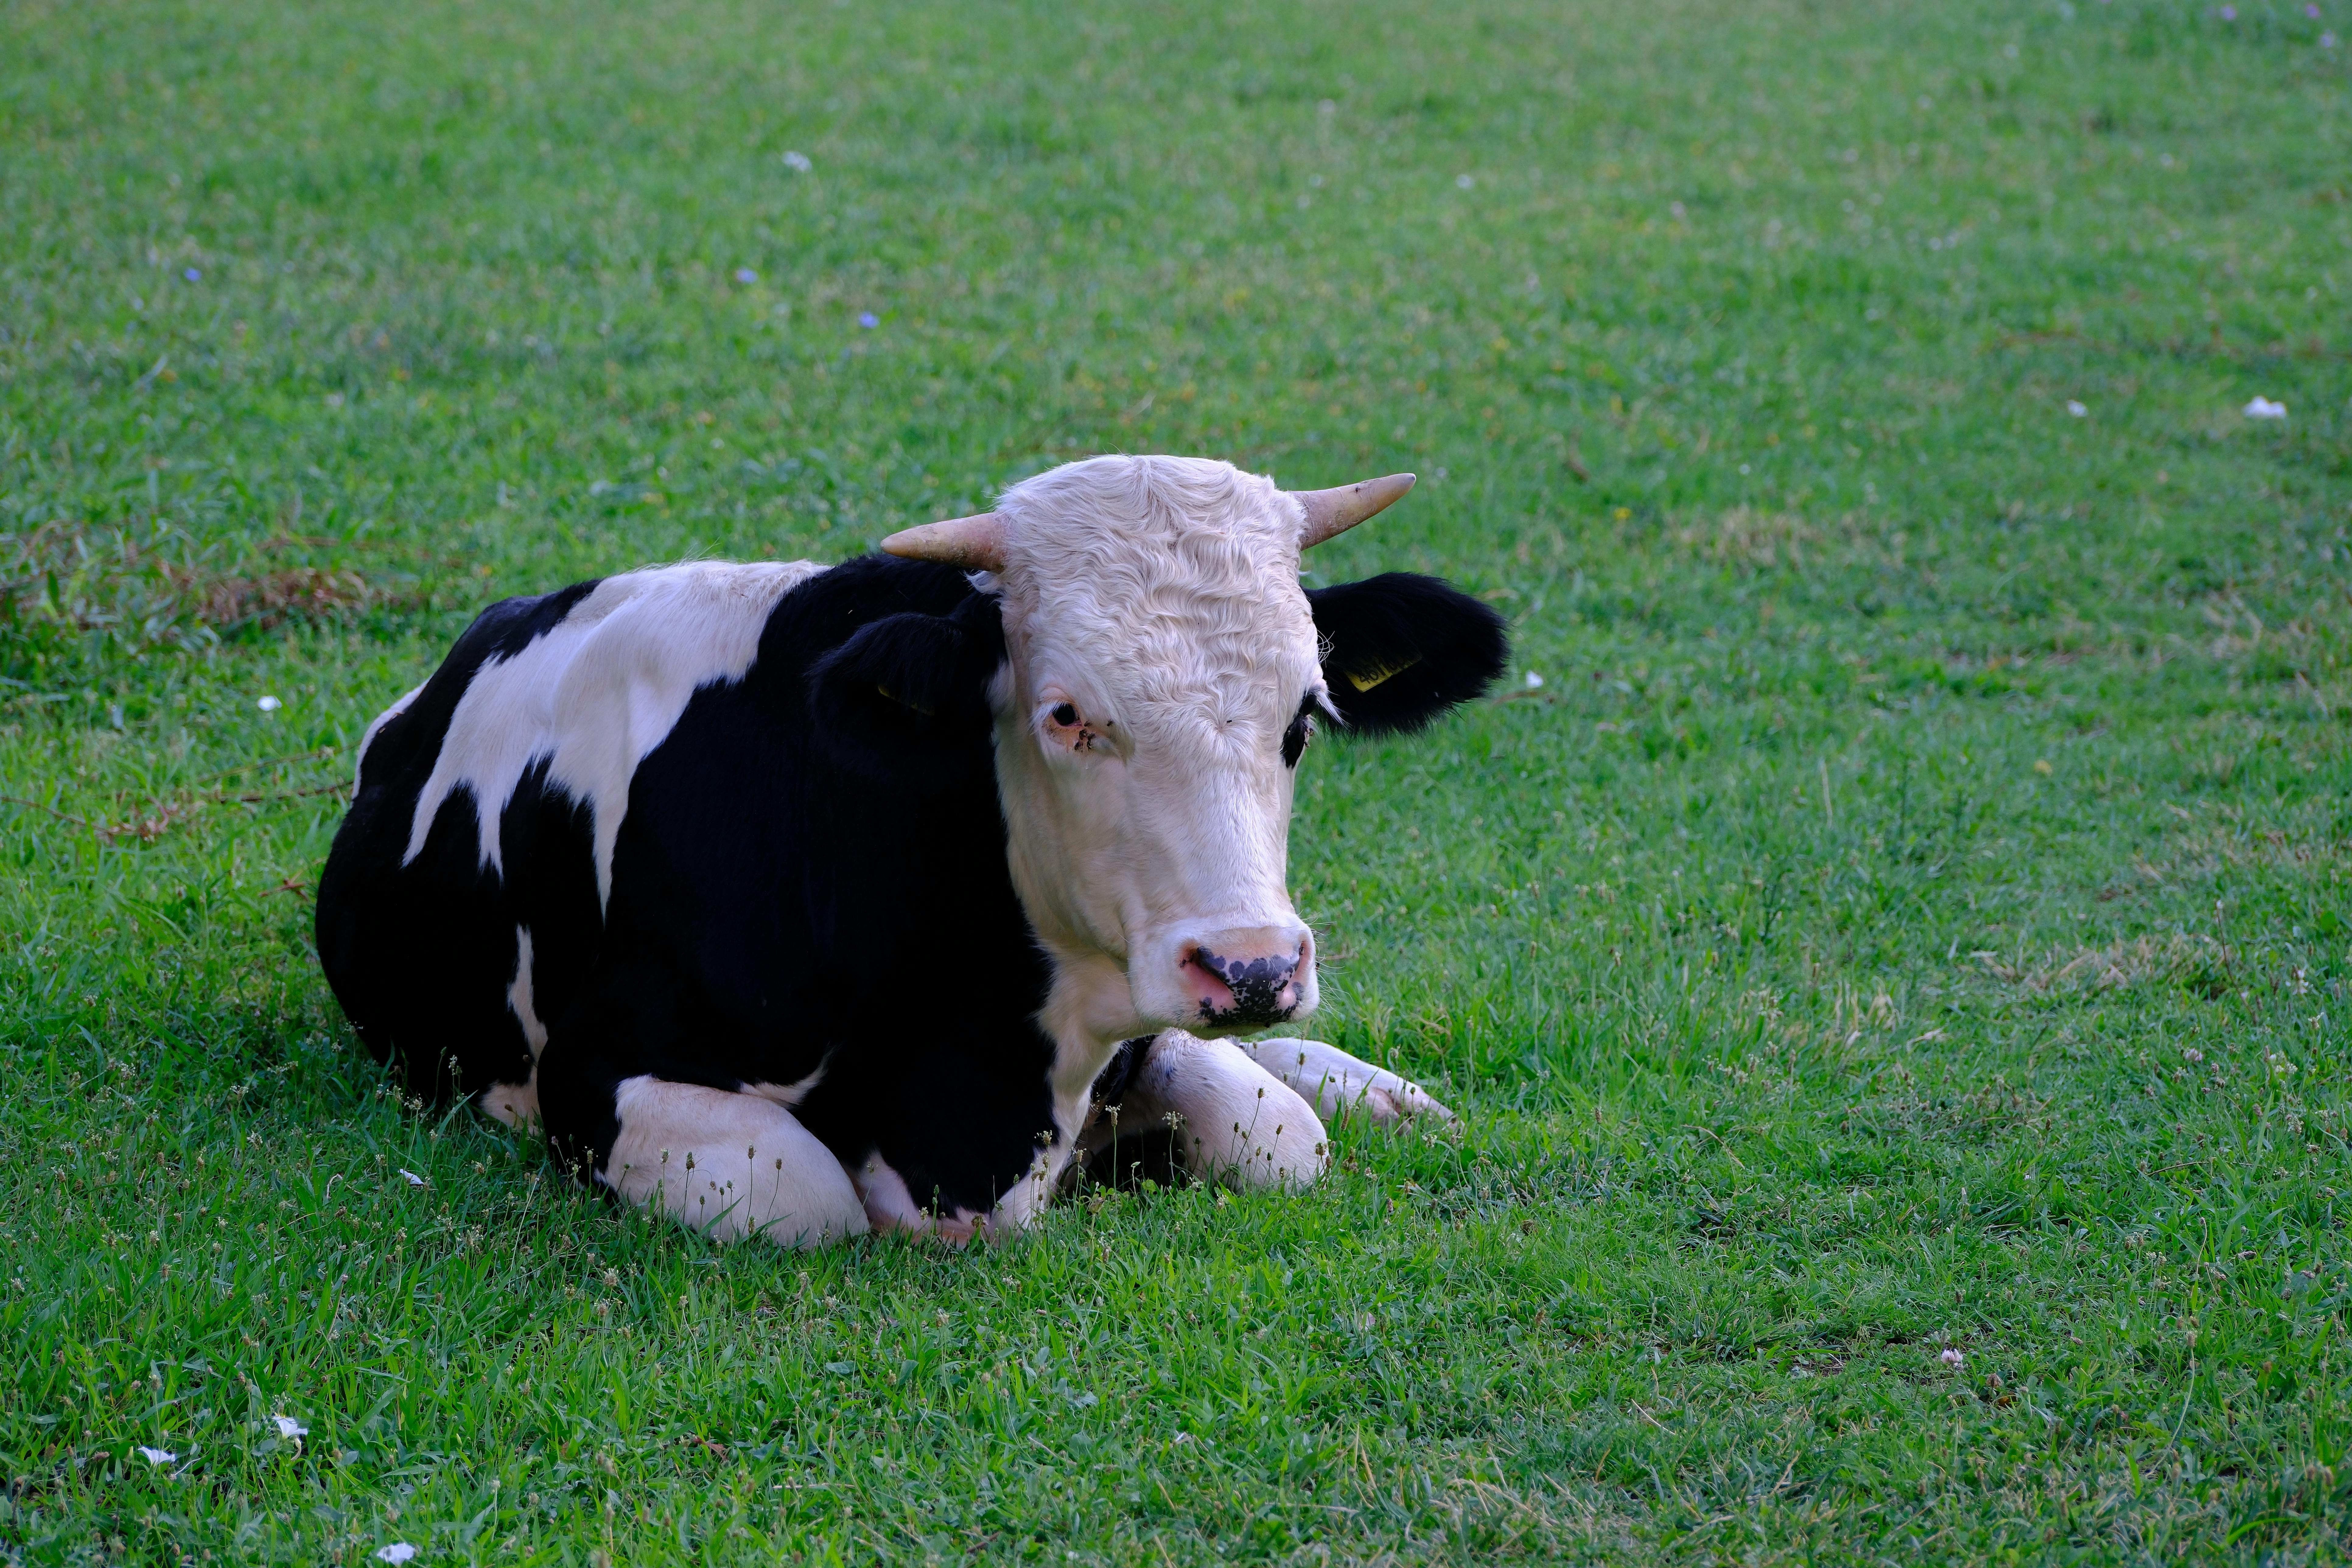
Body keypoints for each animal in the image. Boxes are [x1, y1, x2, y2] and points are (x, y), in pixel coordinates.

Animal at [316, 455, 1506, 1246]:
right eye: (1066, 714)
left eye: (1302, 716)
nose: (1251, 967)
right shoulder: (595, 1070)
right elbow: (806, 1198)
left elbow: (1276, 1134)